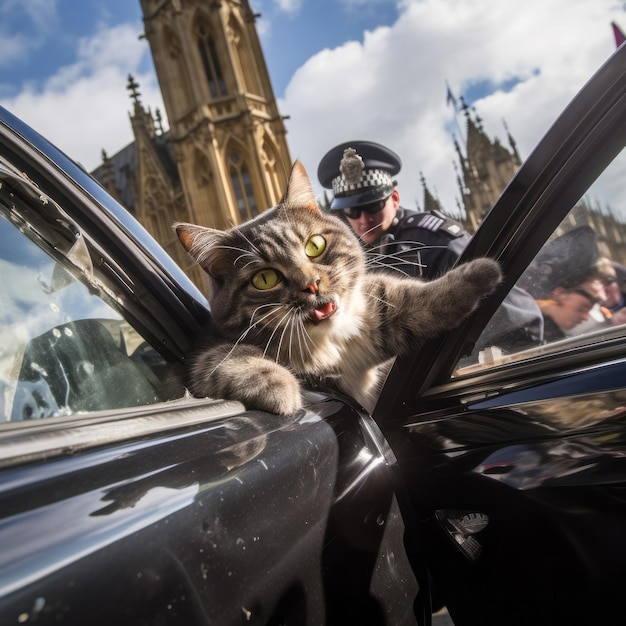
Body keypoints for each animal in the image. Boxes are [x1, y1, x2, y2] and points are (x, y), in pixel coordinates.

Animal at [177, 161, 502, 412]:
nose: (312, 284)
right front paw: (277, 386)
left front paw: (483, 271)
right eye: (265, 278)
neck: (330, 341)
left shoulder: (378, 306)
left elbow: (419, 299)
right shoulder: (208, 348)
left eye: (315, 245)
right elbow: (226, 358)